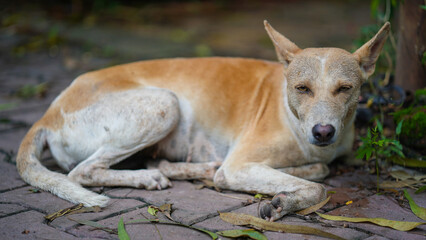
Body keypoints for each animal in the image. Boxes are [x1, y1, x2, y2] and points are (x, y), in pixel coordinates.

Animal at [15, 20, 390, 221]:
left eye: (345, 89)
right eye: (302, 88)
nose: (323, 132)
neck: (290, 111)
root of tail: (48, 112)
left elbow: (320, 170)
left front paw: (297, 177)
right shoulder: (236, 166)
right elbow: (319, 185)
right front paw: (286, 200)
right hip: (165, 103)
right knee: (81, 172)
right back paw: (148, 178)